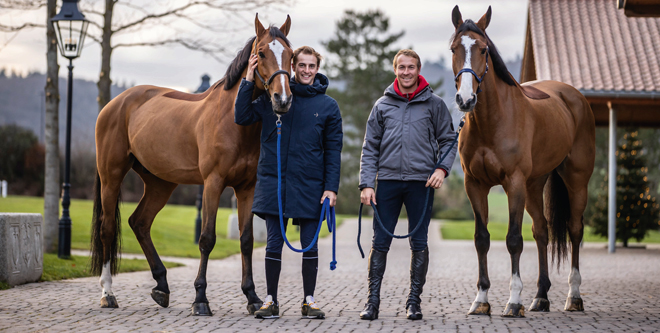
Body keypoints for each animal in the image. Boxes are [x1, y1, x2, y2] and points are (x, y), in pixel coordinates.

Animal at [90, 14, 294, 316]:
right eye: (261, 53)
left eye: (291, 55)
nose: (282, 99)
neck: (233, 120)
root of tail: (113, 104)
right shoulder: (213, 183)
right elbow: (206, 238)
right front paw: (200, 299)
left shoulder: (247, 188)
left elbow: (246, 241)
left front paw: (253, 297)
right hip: (111, 175)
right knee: (107, 228)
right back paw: (108, 294)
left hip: (160, 183)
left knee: (140, 222)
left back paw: (162, 287)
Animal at [452, 5, 596, 316]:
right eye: (454, 48)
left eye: (483, 49)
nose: (465, 99)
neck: (492, 122)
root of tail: (573, 96)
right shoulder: (474, 185)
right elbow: (482, 239)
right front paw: (481, 300)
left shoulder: (514, 183)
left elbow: (514, 240)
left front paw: (513, 300)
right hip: (534, 185)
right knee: (541, 231)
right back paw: (541, 297)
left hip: (576, 180)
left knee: (575, 230)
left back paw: (574, 296)